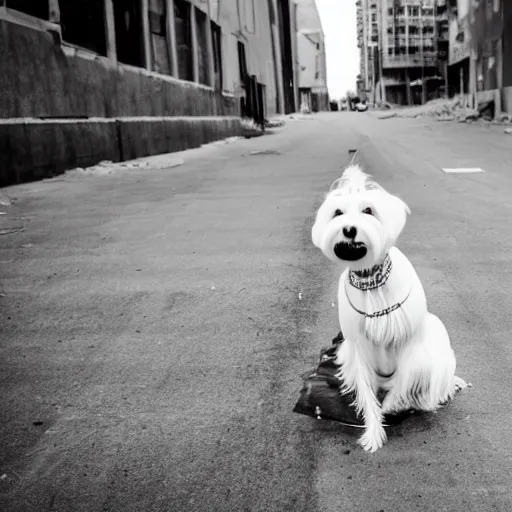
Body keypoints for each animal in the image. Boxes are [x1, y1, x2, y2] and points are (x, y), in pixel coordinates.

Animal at [310, 164, 466, 452]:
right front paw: (373, 431)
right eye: (337, 213)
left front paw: (392, 407)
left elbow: (402, 384)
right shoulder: (358, 349)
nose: (349, 230)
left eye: (368, 210)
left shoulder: (409, 345)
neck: (372, 282)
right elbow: (368, 394)